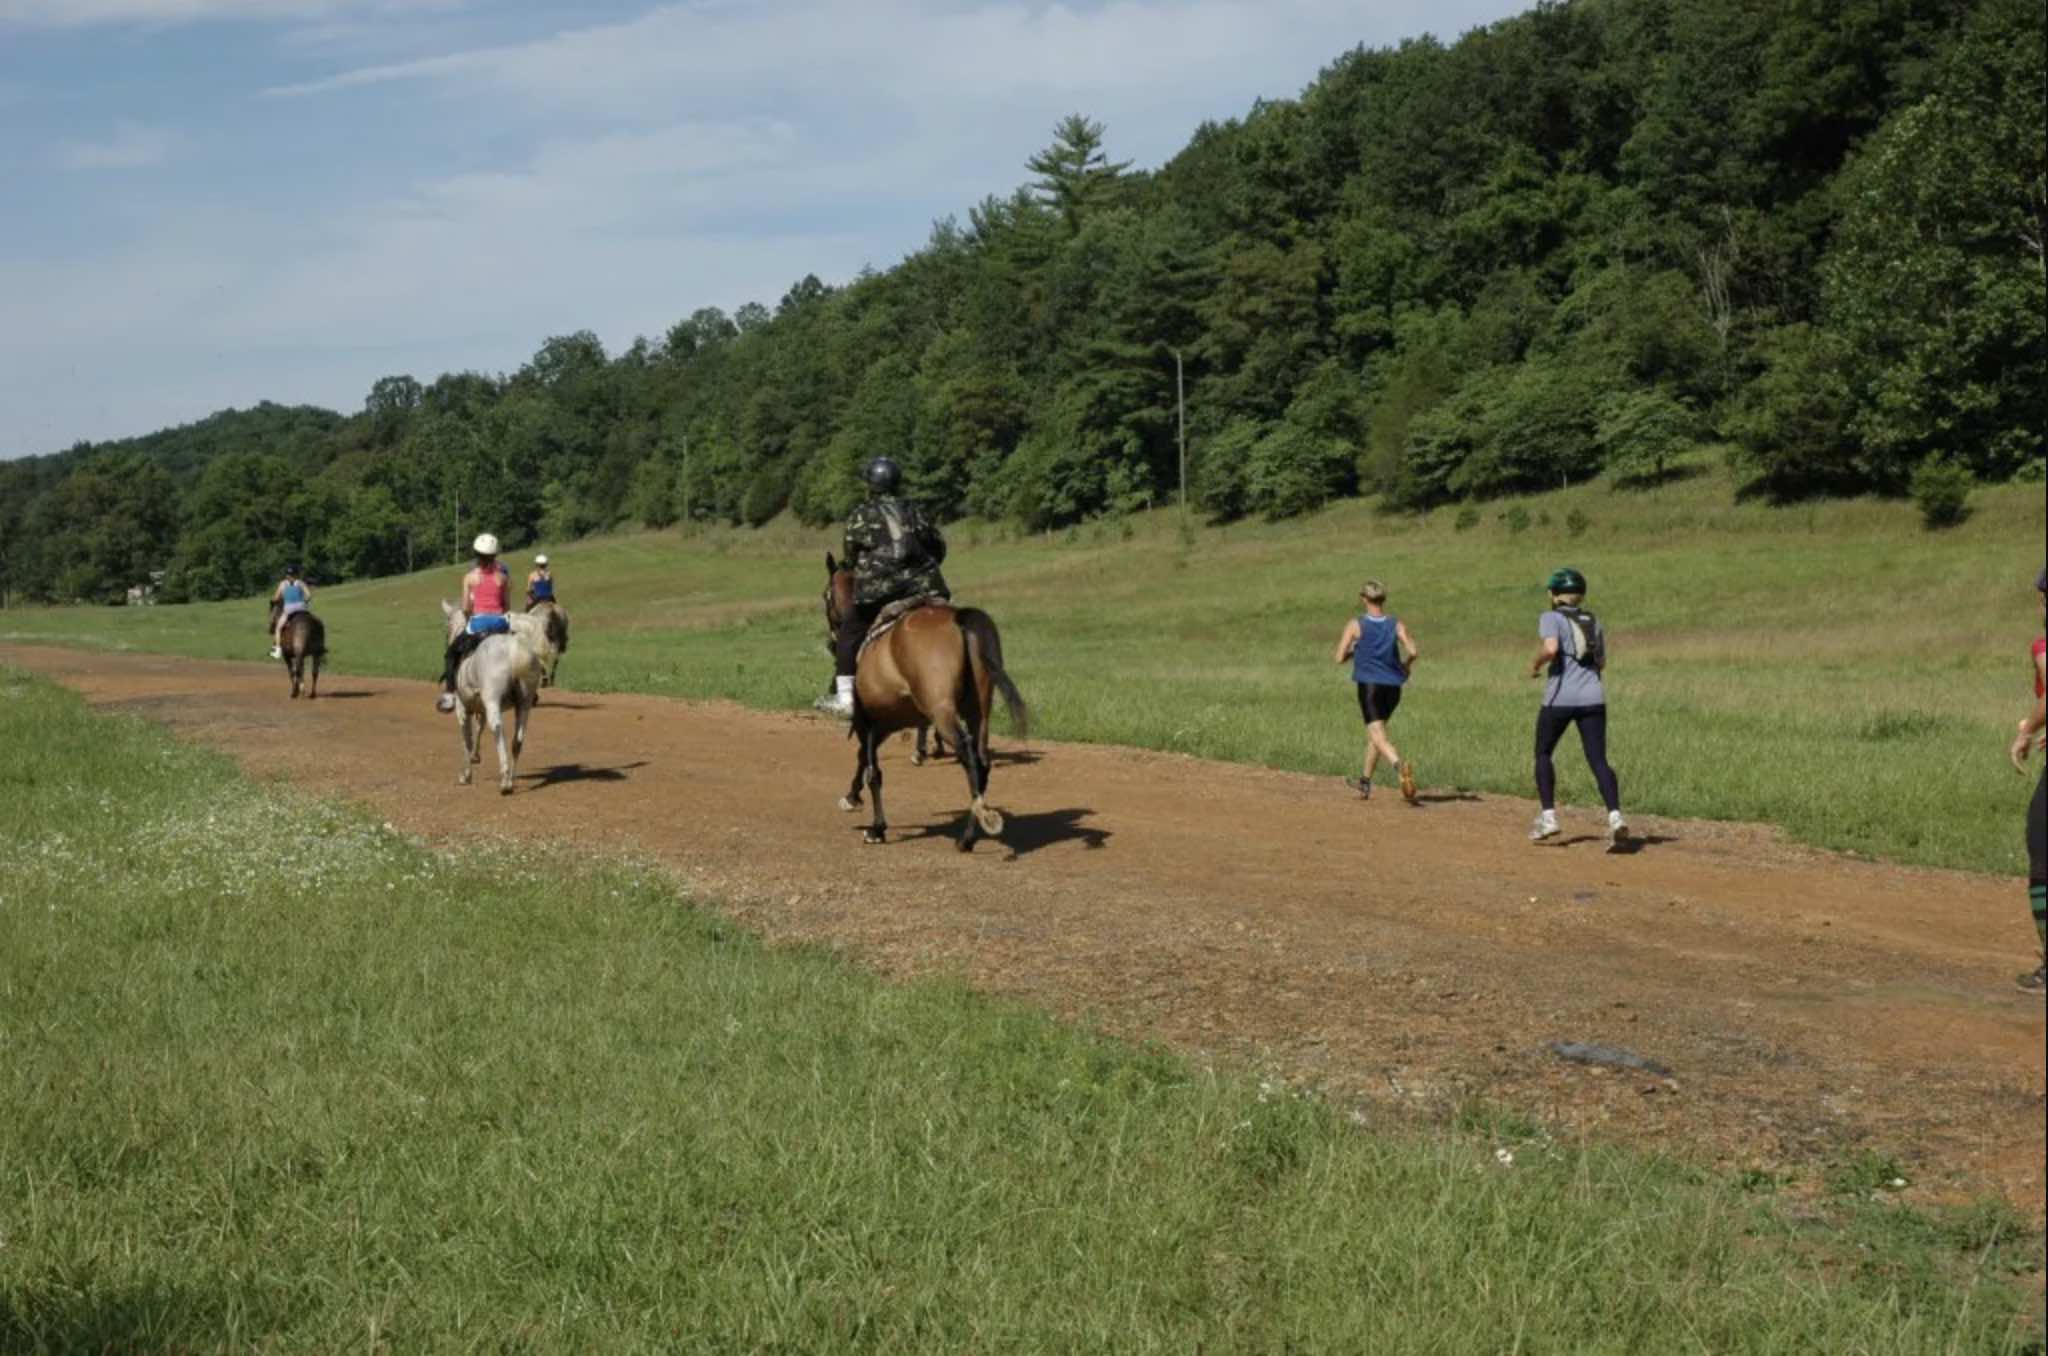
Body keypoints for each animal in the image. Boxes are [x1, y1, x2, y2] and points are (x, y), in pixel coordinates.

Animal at [438, 602, 557, 798]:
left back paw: (504, 782)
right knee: (518, 739)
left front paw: (466, 775)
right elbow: (479, 728)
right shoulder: (480, 706)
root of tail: (514, 650)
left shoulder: (462, 707)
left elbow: (467, 738)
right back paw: (511, 779)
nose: (448, 636)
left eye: (447, 627)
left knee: (497, 730)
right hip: (524, 703)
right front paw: (475, 756)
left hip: (493, 700)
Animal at [823, 553, 1032, 852]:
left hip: (941, 710)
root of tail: (959, 618)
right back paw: (970, 831)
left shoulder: (869, 721)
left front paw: (876, 827)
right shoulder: (885, 723)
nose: (831, 642)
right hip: (979, 711)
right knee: (981, 761)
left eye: (825, 596)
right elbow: (865, 760)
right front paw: (853, 797)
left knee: (968, 755)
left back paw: (976, 825)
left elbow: (872, 770)